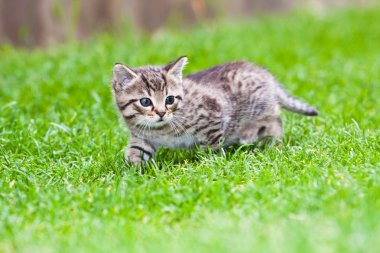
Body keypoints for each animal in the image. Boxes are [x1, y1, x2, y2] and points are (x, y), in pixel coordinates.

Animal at [110, 56, 318, 164]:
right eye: (145, 101)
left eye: (170, 99)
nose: (161, 113)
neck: (162, 129)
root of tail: (267, 76)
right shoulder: (143, 137)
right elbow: (135, 151)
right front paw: (133, 170)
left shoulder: (213, 115)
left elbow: (211, 145)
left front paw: (209, 162)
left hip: (258, 109)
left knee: (275, 120)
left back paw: (268, 142)